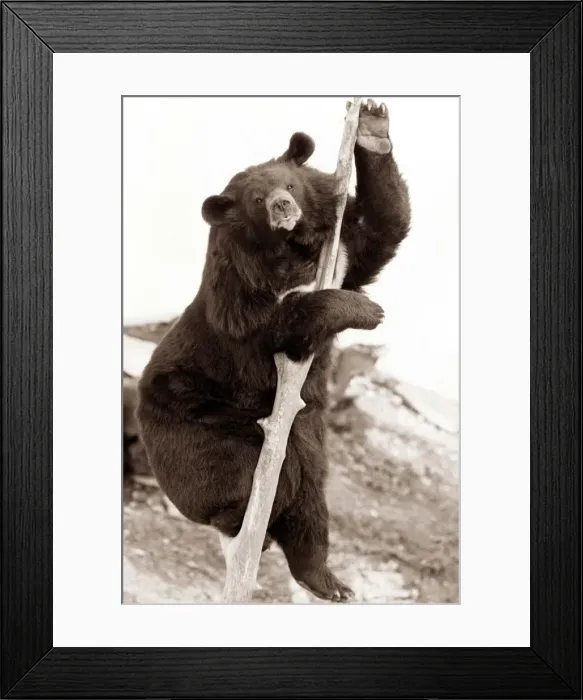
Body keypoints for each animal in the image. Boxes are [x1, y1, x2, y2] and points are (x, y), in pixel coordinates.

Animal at [136, 99, 411, 602]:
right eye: (257, 201)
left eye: (289, 185)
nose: (284, 206)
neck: (288, 245)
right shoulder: (237, 288)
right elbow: (274, 323)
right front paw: (366, 310)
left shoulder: (341, 248)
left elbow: (382, 227)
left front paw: (373, 125)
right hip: (199, 428)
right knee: (253, 479)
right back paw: (247, 526)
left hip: (303, 436)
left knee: (310, 502)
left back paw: (327, 582)